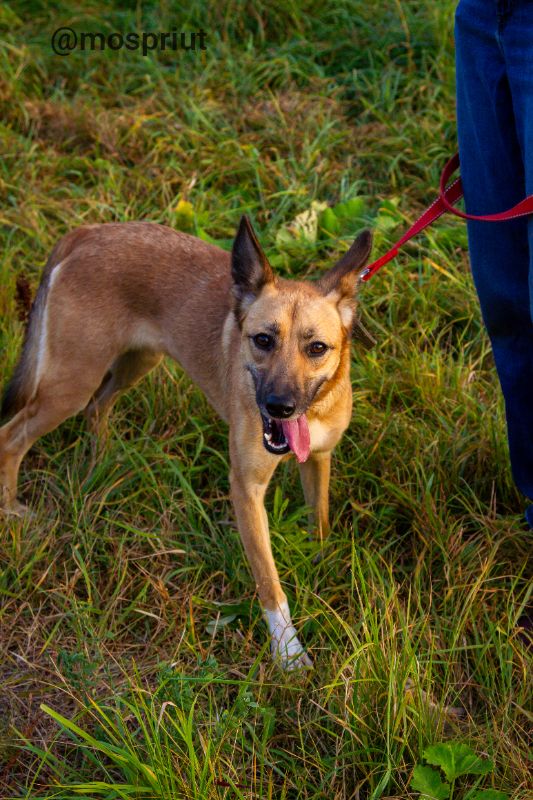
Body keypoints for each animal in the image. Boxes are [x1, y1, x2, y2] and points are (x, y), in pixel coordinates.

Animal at [0, 217, 372, 668]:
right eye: (262, 340)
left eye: (317, 348)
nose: (279, 406)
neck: (312, 408)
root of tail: (86, 233)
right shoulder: (246, 490)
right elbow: (269, 582)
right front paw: (287, 652)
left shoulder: (319, 458)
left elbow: (319, 519)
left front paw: (322, 565)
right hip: (71, 385)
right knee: (10, 438)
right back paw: (11, 509)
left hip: (137, 362)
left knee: (97, 408)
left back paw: (104, 462)